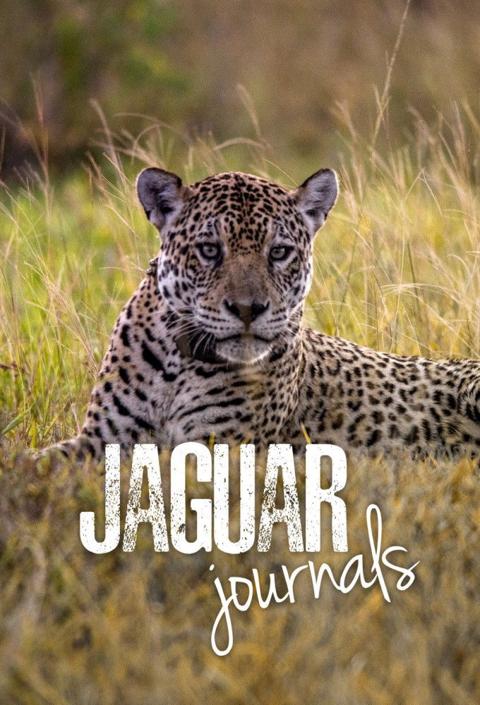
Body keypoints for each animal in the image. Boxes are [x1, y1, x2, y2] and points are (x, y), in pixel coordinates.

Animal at [41, 166, 480, 461]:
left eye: (280, 252)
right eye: (209, 250)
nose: (248, 309)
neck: (176, 366)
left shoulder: (220, 446)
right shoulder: (100, 439)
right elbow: (42, 463)